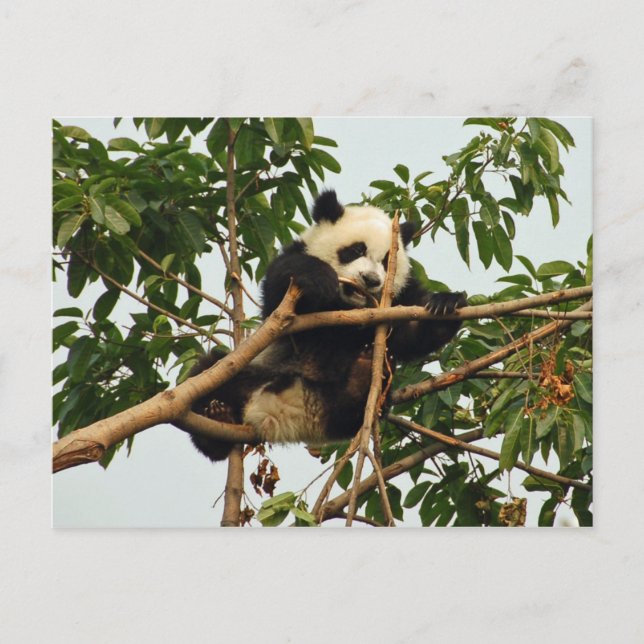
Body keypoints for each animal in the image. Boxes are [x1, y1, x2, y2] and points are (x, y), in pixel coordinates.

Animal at [189, 190, 466, 461]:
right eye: (355, 250)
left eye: (386, 261)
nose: (371, 279)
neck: (348, 306)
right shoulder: (290, 283)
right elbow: (279, 287)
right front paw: (319, 277)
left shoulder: (398, 296)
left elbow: (411, 333)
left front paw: (446, 304)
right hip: (251, 373)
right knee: (208, 369)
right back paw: (217, 421)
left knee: (353, 411)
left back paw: (360, 380)